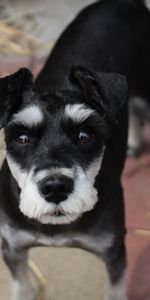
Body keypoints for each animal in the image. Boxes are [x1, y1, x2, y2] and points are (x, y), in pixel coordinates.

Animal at [1, 0, 150, 298]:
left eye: (84, 135)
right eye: (21, 138)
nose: (55, 187)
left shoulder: (114, 252)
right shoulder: (13, 248)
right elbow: (22, 286)